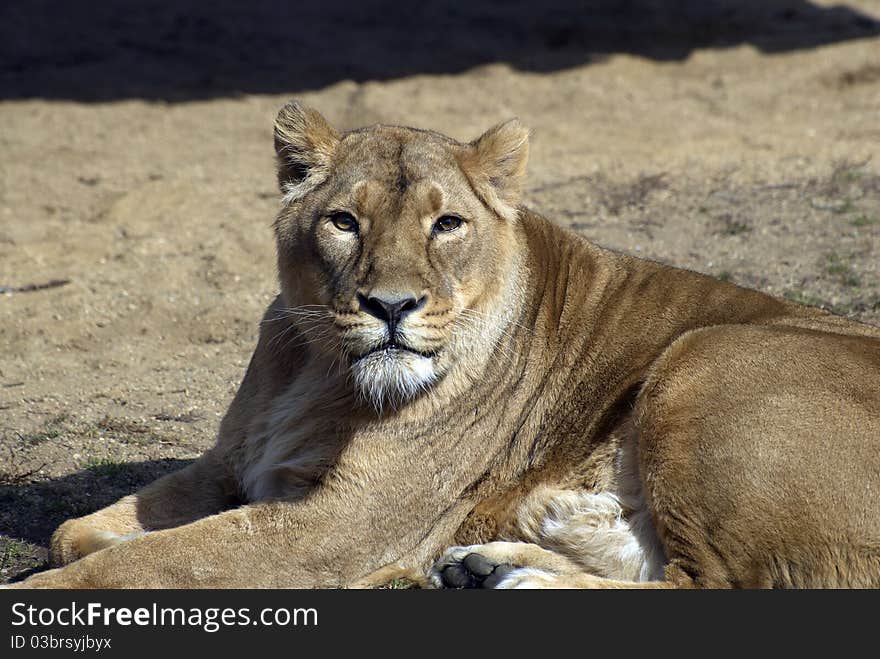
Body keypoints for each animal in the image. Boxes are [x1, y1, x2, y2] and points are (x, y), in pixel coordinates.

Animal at [10, 99, 880, 588]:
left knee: (718, 584)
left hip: (704, 357)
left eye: (447, 224)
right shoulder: (234, 465)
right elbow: (74, 532)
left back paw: (514, 578)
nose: (391, 305)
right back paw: (490, 566)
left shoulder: (338, 528)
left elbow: (144, 562)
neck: (316, 369)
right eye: (345, 221)